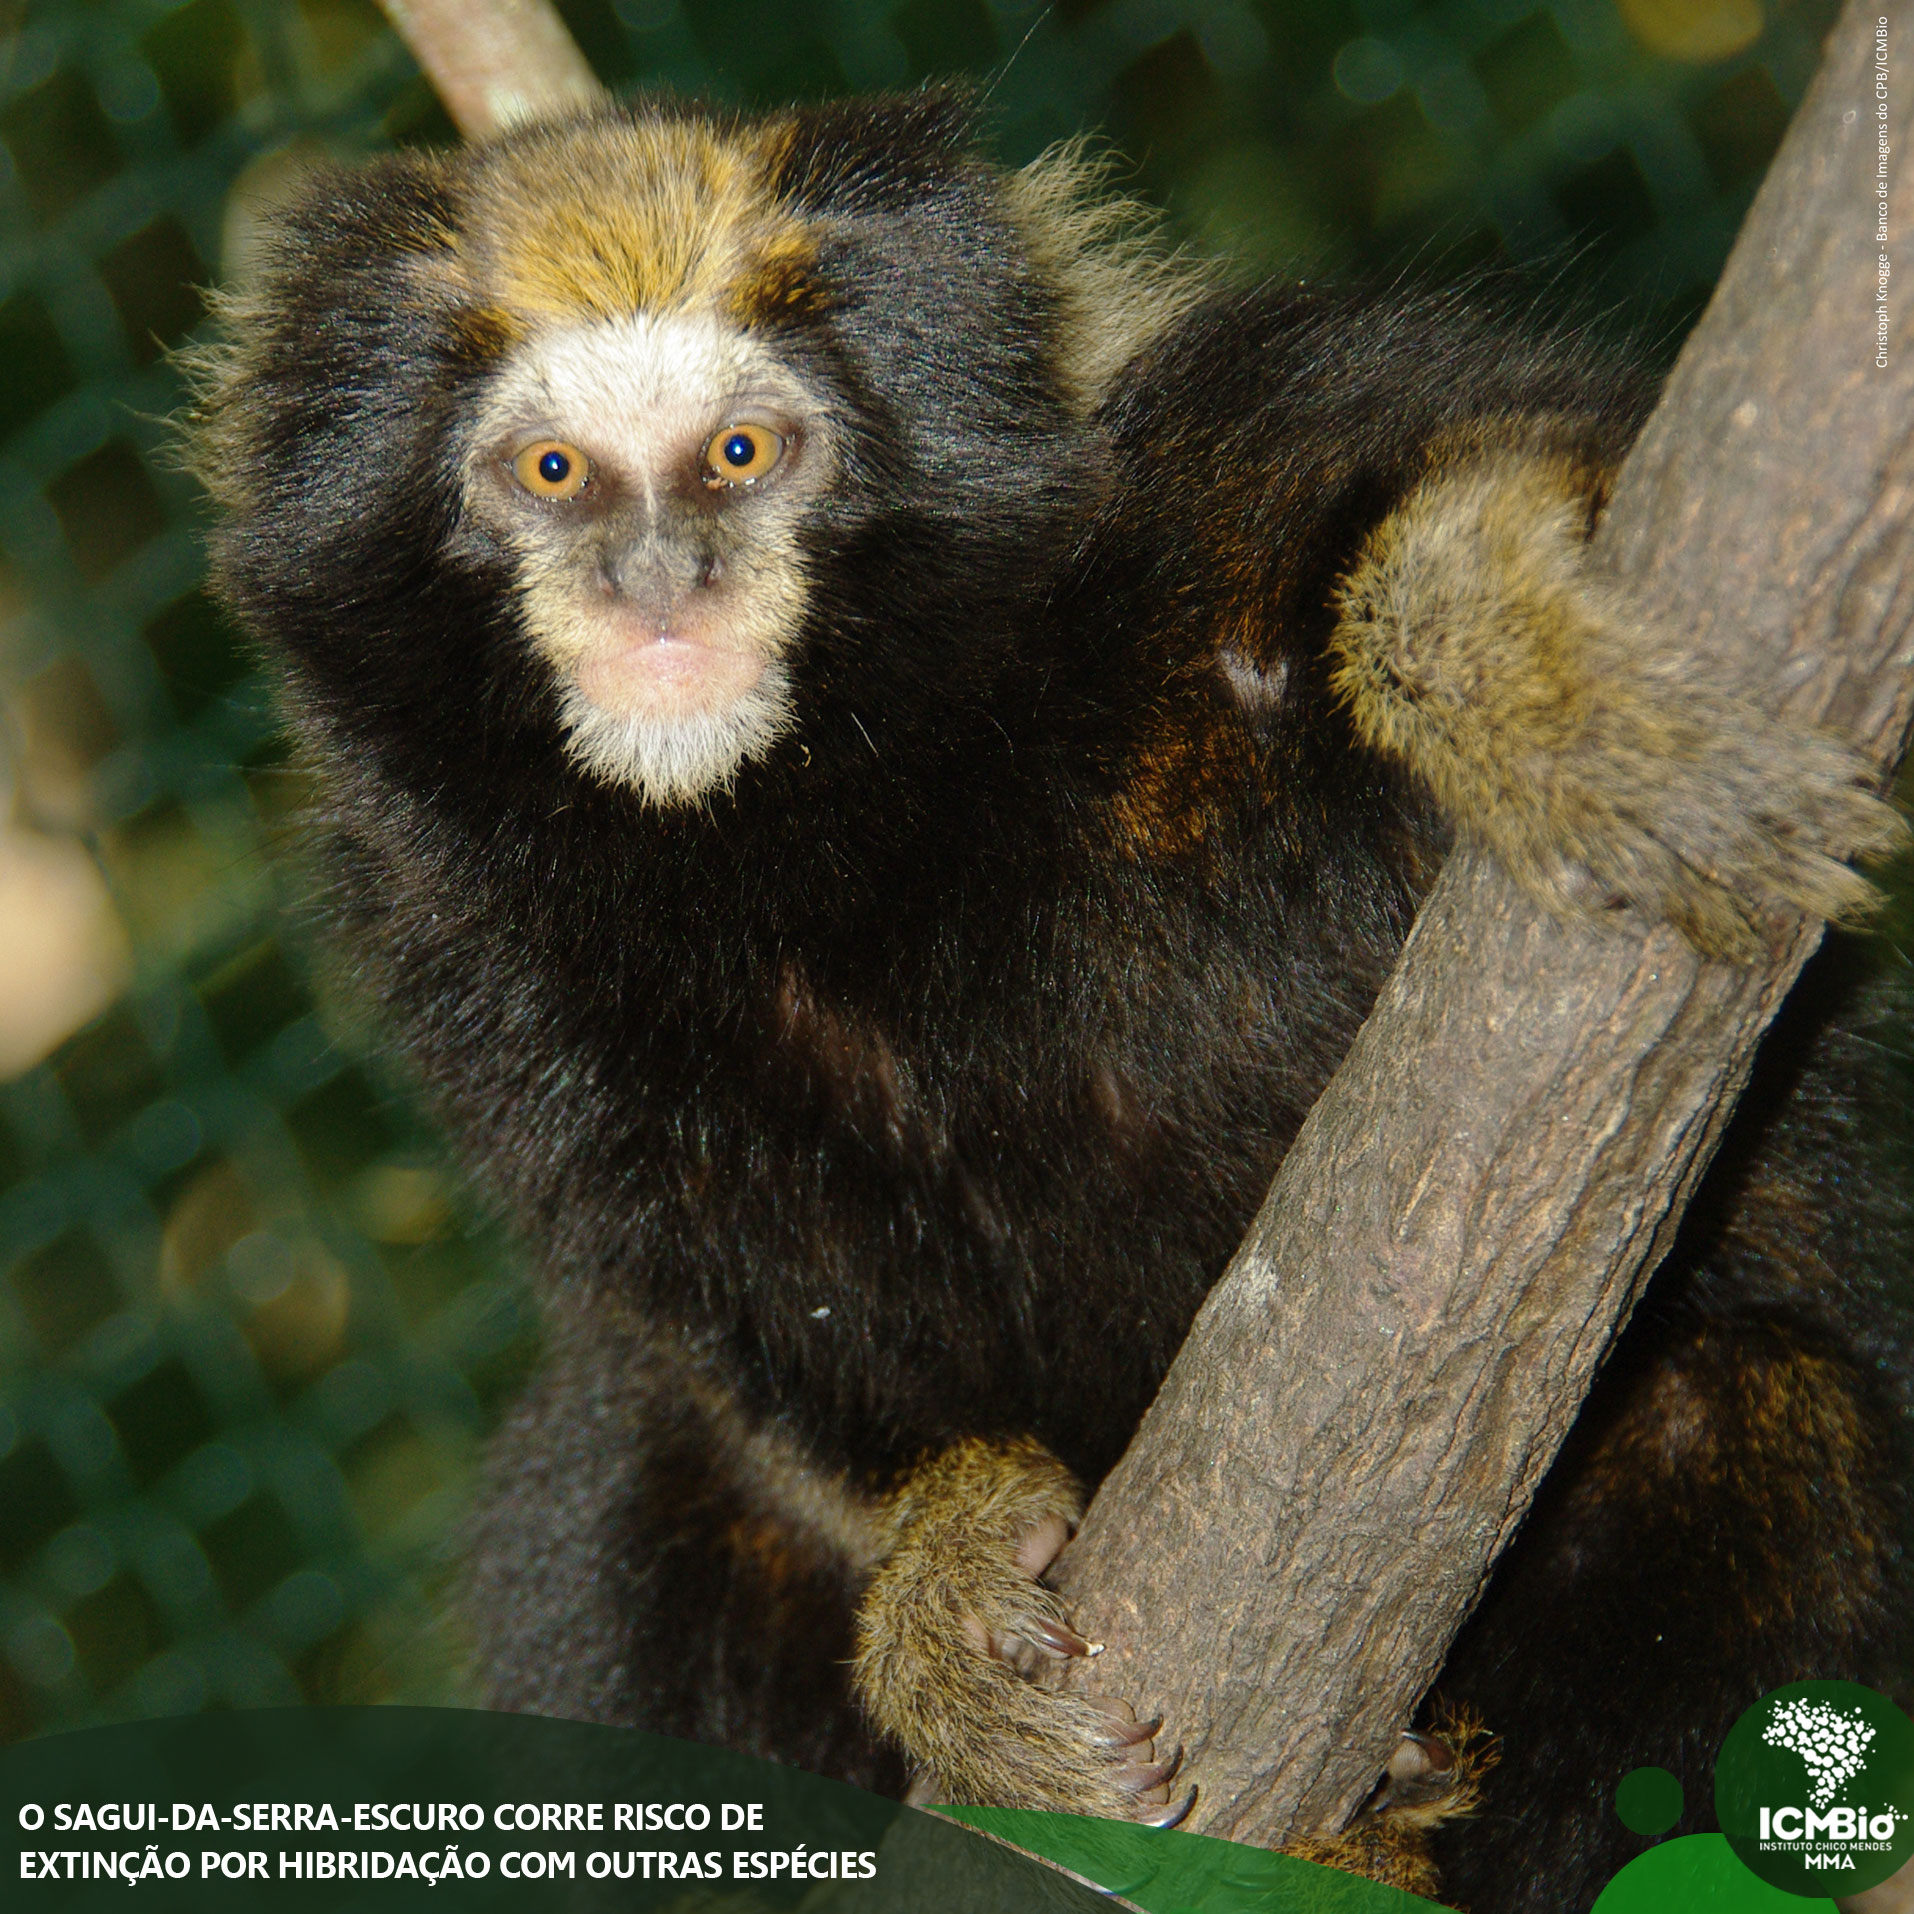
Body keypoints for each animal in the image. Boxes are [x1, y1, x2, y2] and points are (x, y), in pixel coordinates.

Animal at [194, 93, 1914, 1914]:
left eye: (742, 454)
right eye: (550, 471)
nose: (658, 575)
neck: (841, 820)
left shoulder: (1216, 475)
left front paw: (1498, 640)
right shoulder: (461, 949)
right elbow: (737, 1340)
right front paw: (942, 1555)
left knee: (1746, 1405)